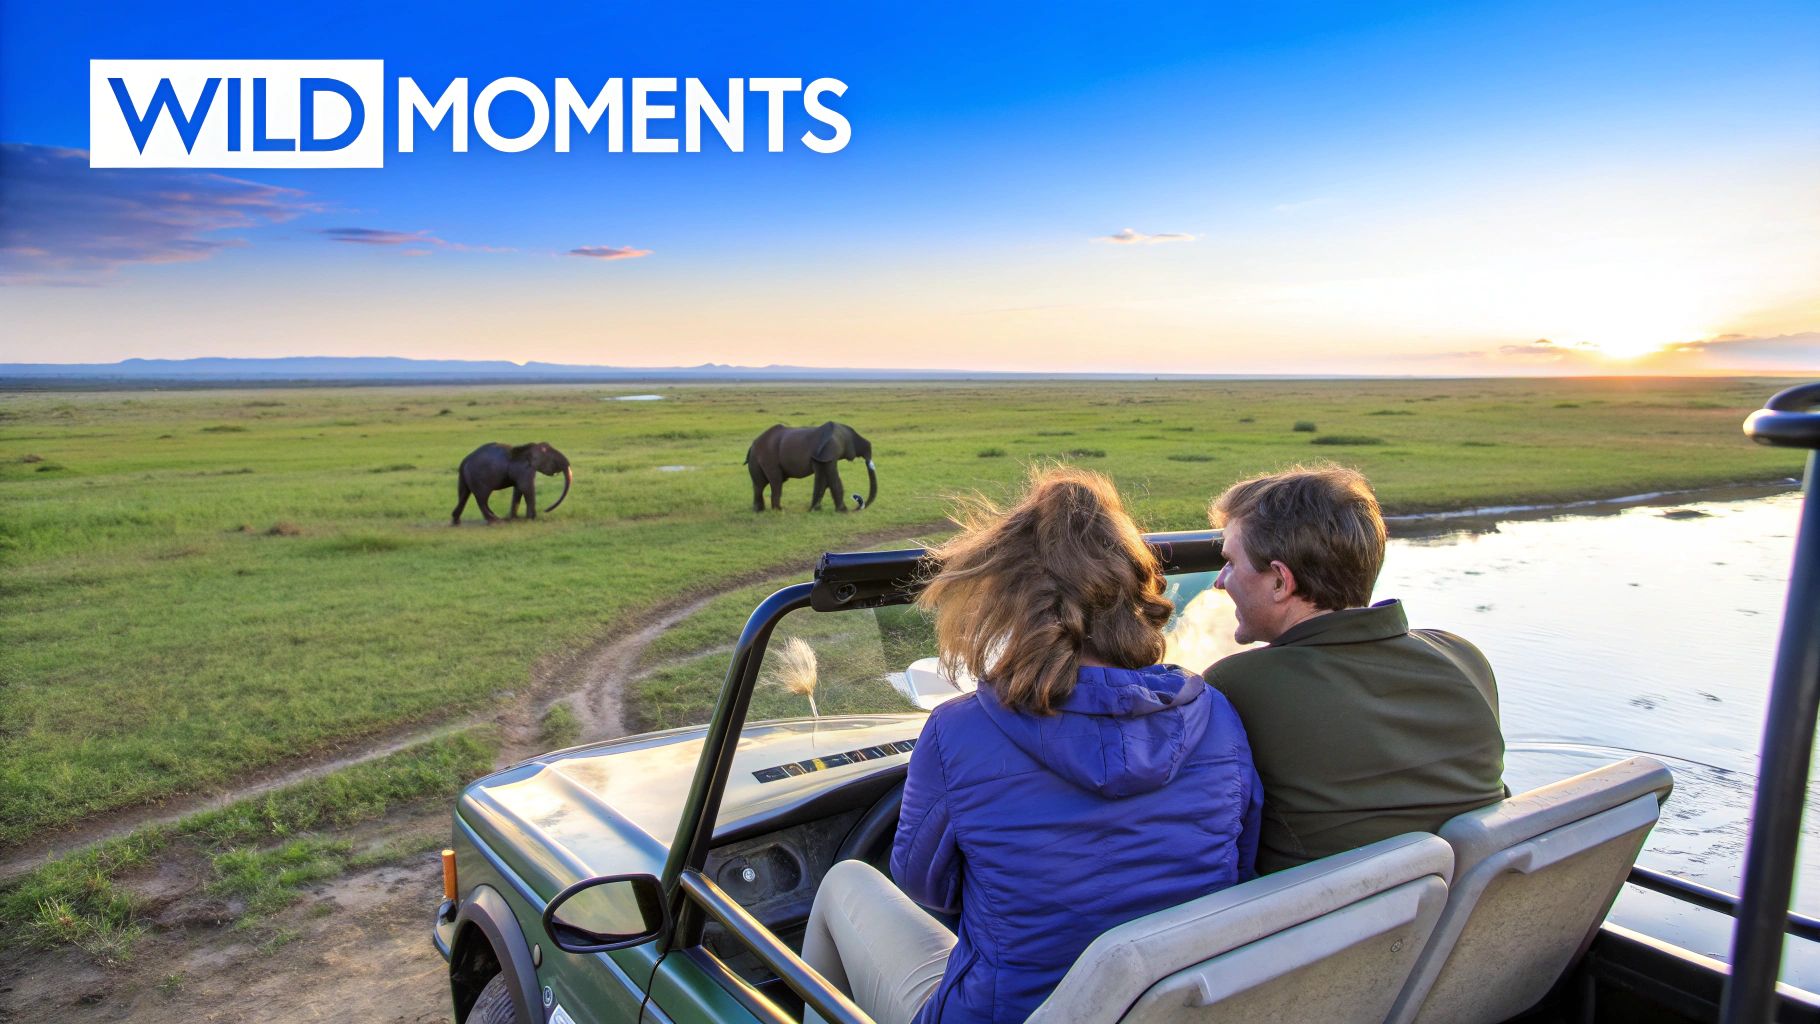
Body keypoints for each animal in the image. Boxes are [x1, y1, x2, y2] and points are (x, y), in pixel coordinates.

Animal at [745, 422, 877, 512]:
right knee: (776, 482)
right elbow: (830, 479)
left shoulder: (822, 457)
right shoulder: (827, 454)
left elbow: (825, 480)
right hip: (768, 458)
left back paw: (759, 511)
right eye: (850, 440)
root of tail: (752, 445)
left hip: (756, 459)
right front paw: (842, 511)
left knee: (759, 485)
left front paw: (815, 510)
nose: (857, 498)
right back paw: (779, 511)